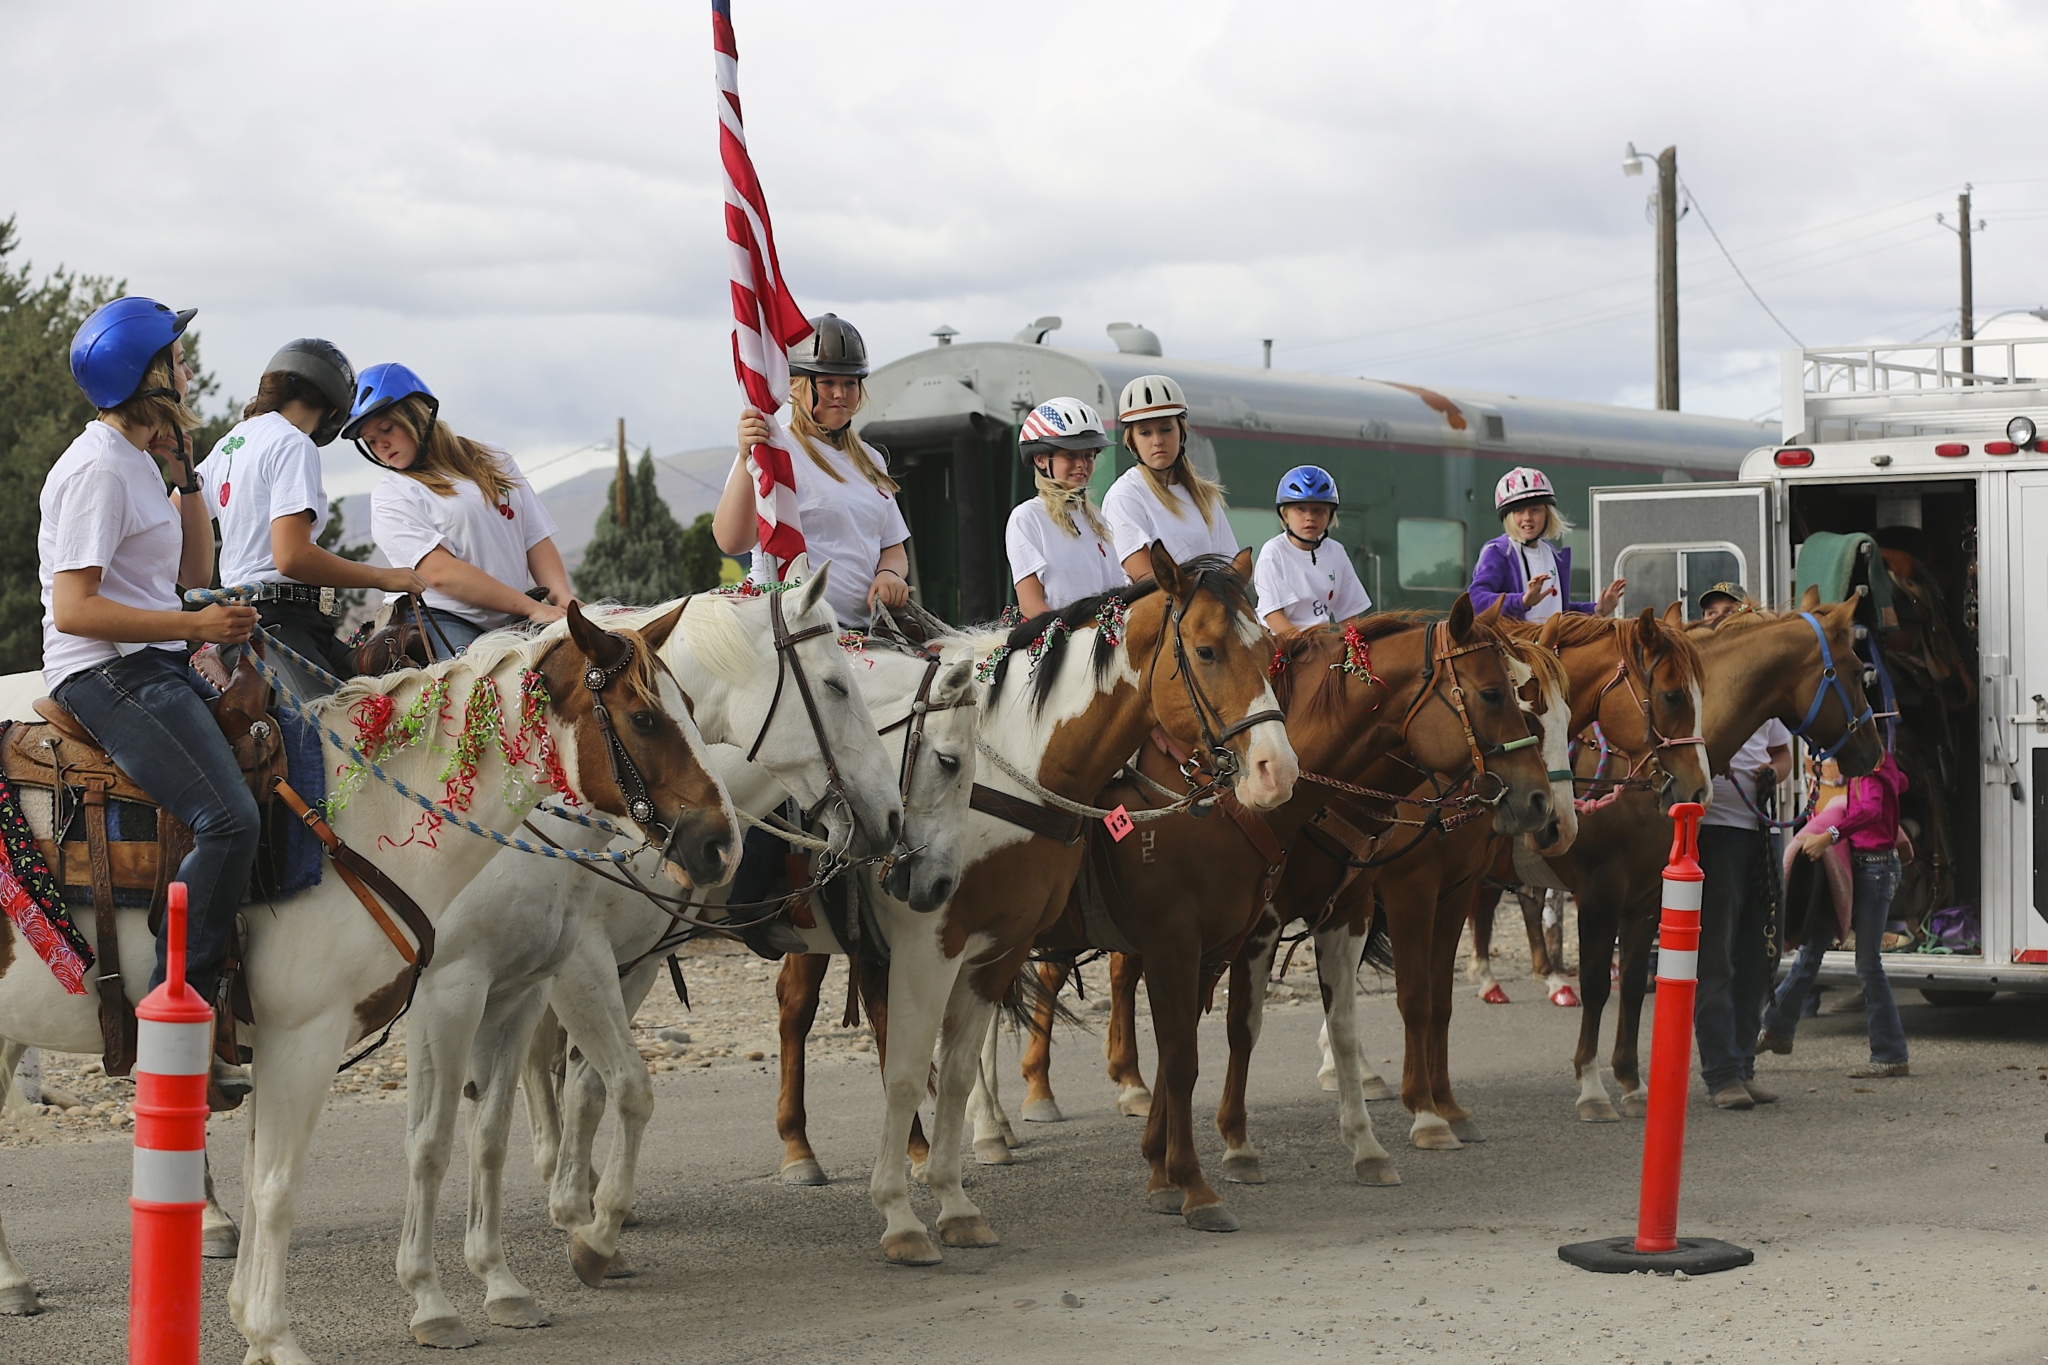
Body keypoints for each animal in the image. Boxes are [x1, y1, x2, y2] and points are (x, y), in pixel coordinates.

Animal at [0, 609, 737, 1365]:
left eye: (686, 706)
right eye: (644, 717)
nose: (721, 843)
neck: (356, 818)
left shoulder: (296, 1037)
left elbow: (275, 1174)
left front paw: (253, 1329)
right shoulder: (319, 1033)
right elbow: (285, 1184)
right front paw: (283, 1335)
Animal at [395, 573, 909, 1350]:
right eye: (834, 684)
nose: (892, 818)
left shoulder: (625, 963)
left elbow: (593, 1087)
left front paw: (584, 1210)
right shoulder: (556, 966)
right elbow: (625, 1087)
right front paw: (590, 1230)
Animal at [999, 597, 1556, 1227]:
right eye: (1492, 693)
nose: (1539, 800)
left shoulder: (1351, 912)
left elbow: (1349, 1023)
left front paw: (1370, 1143)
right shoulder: (1258, 926)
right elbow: (1240, 1028)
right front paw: (1235, 1149)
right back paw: (996, 1126)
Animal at [1540, 593, 1884, 1121]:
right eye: (1850, 670)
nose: (1874, 752)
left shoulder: (1644, 895)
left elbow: (1634, 984)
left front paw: (1633, 1085)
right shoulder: (1600, 891)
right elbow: (1598, 985)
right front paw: (1593, 1089)